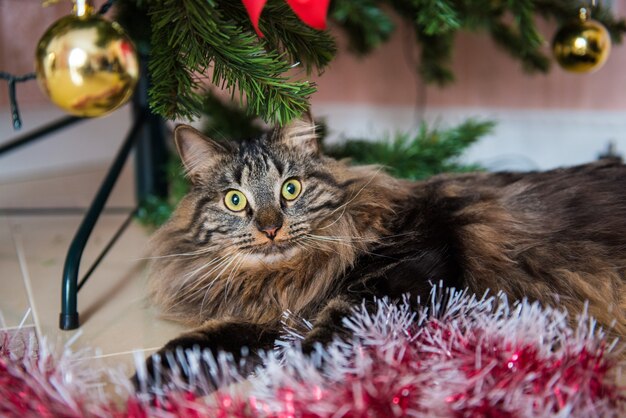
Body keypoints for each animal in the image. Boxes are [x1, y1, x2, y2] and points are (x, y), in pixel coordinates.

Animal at [144, 117, 624, 378]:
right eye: (234, 200)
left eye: (291, 189)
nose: (271, 229)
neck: (292, 278)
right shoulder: (275, 316)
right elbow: (207, 341)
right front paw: (151, 378)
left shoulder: (401, 276)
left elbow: (327, 334)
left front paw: (291, 375)